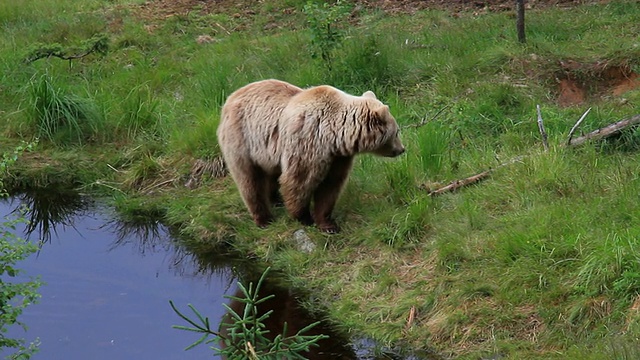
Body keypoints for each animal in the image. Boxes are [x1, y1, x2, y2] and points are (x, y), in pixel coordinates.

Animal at [218, 79, 402, 233]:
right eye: (397, 132)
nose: (402, 149)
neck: (335, 135)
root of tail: (229, 98)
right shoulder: (309, 142)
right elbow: (300, 181)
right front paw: (304, 217)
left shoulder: (338, 157)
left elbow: (330, 186)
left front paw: (328, 224)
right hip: (242, 139)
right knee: (250, 181)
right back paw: (264, 219)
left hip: (266, 152)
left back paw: (275, 199)